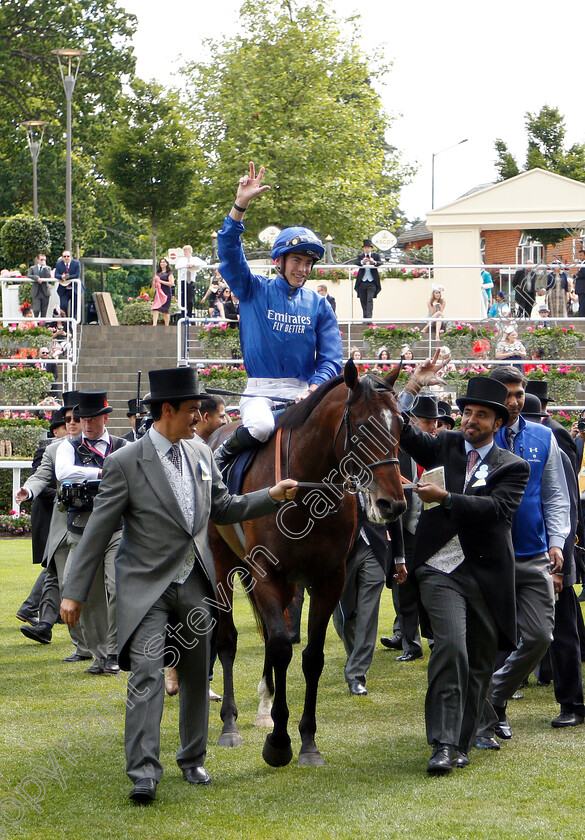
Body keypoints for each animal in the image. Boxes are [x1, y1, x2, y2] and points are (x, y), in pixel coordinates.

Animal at [208, 358, 404, 764]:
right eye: (363, 426)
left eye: (401, 423)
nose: (391, 504)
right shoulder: (266, 574)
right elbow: (282, 647)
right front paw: (279, 743)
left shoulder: (328, 579)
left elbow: (311, 656)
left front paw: (307, 741)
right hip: (221, 563)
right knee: (229, 640)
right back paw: (230, 724)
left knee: (272, 636)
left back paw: (264, 708)